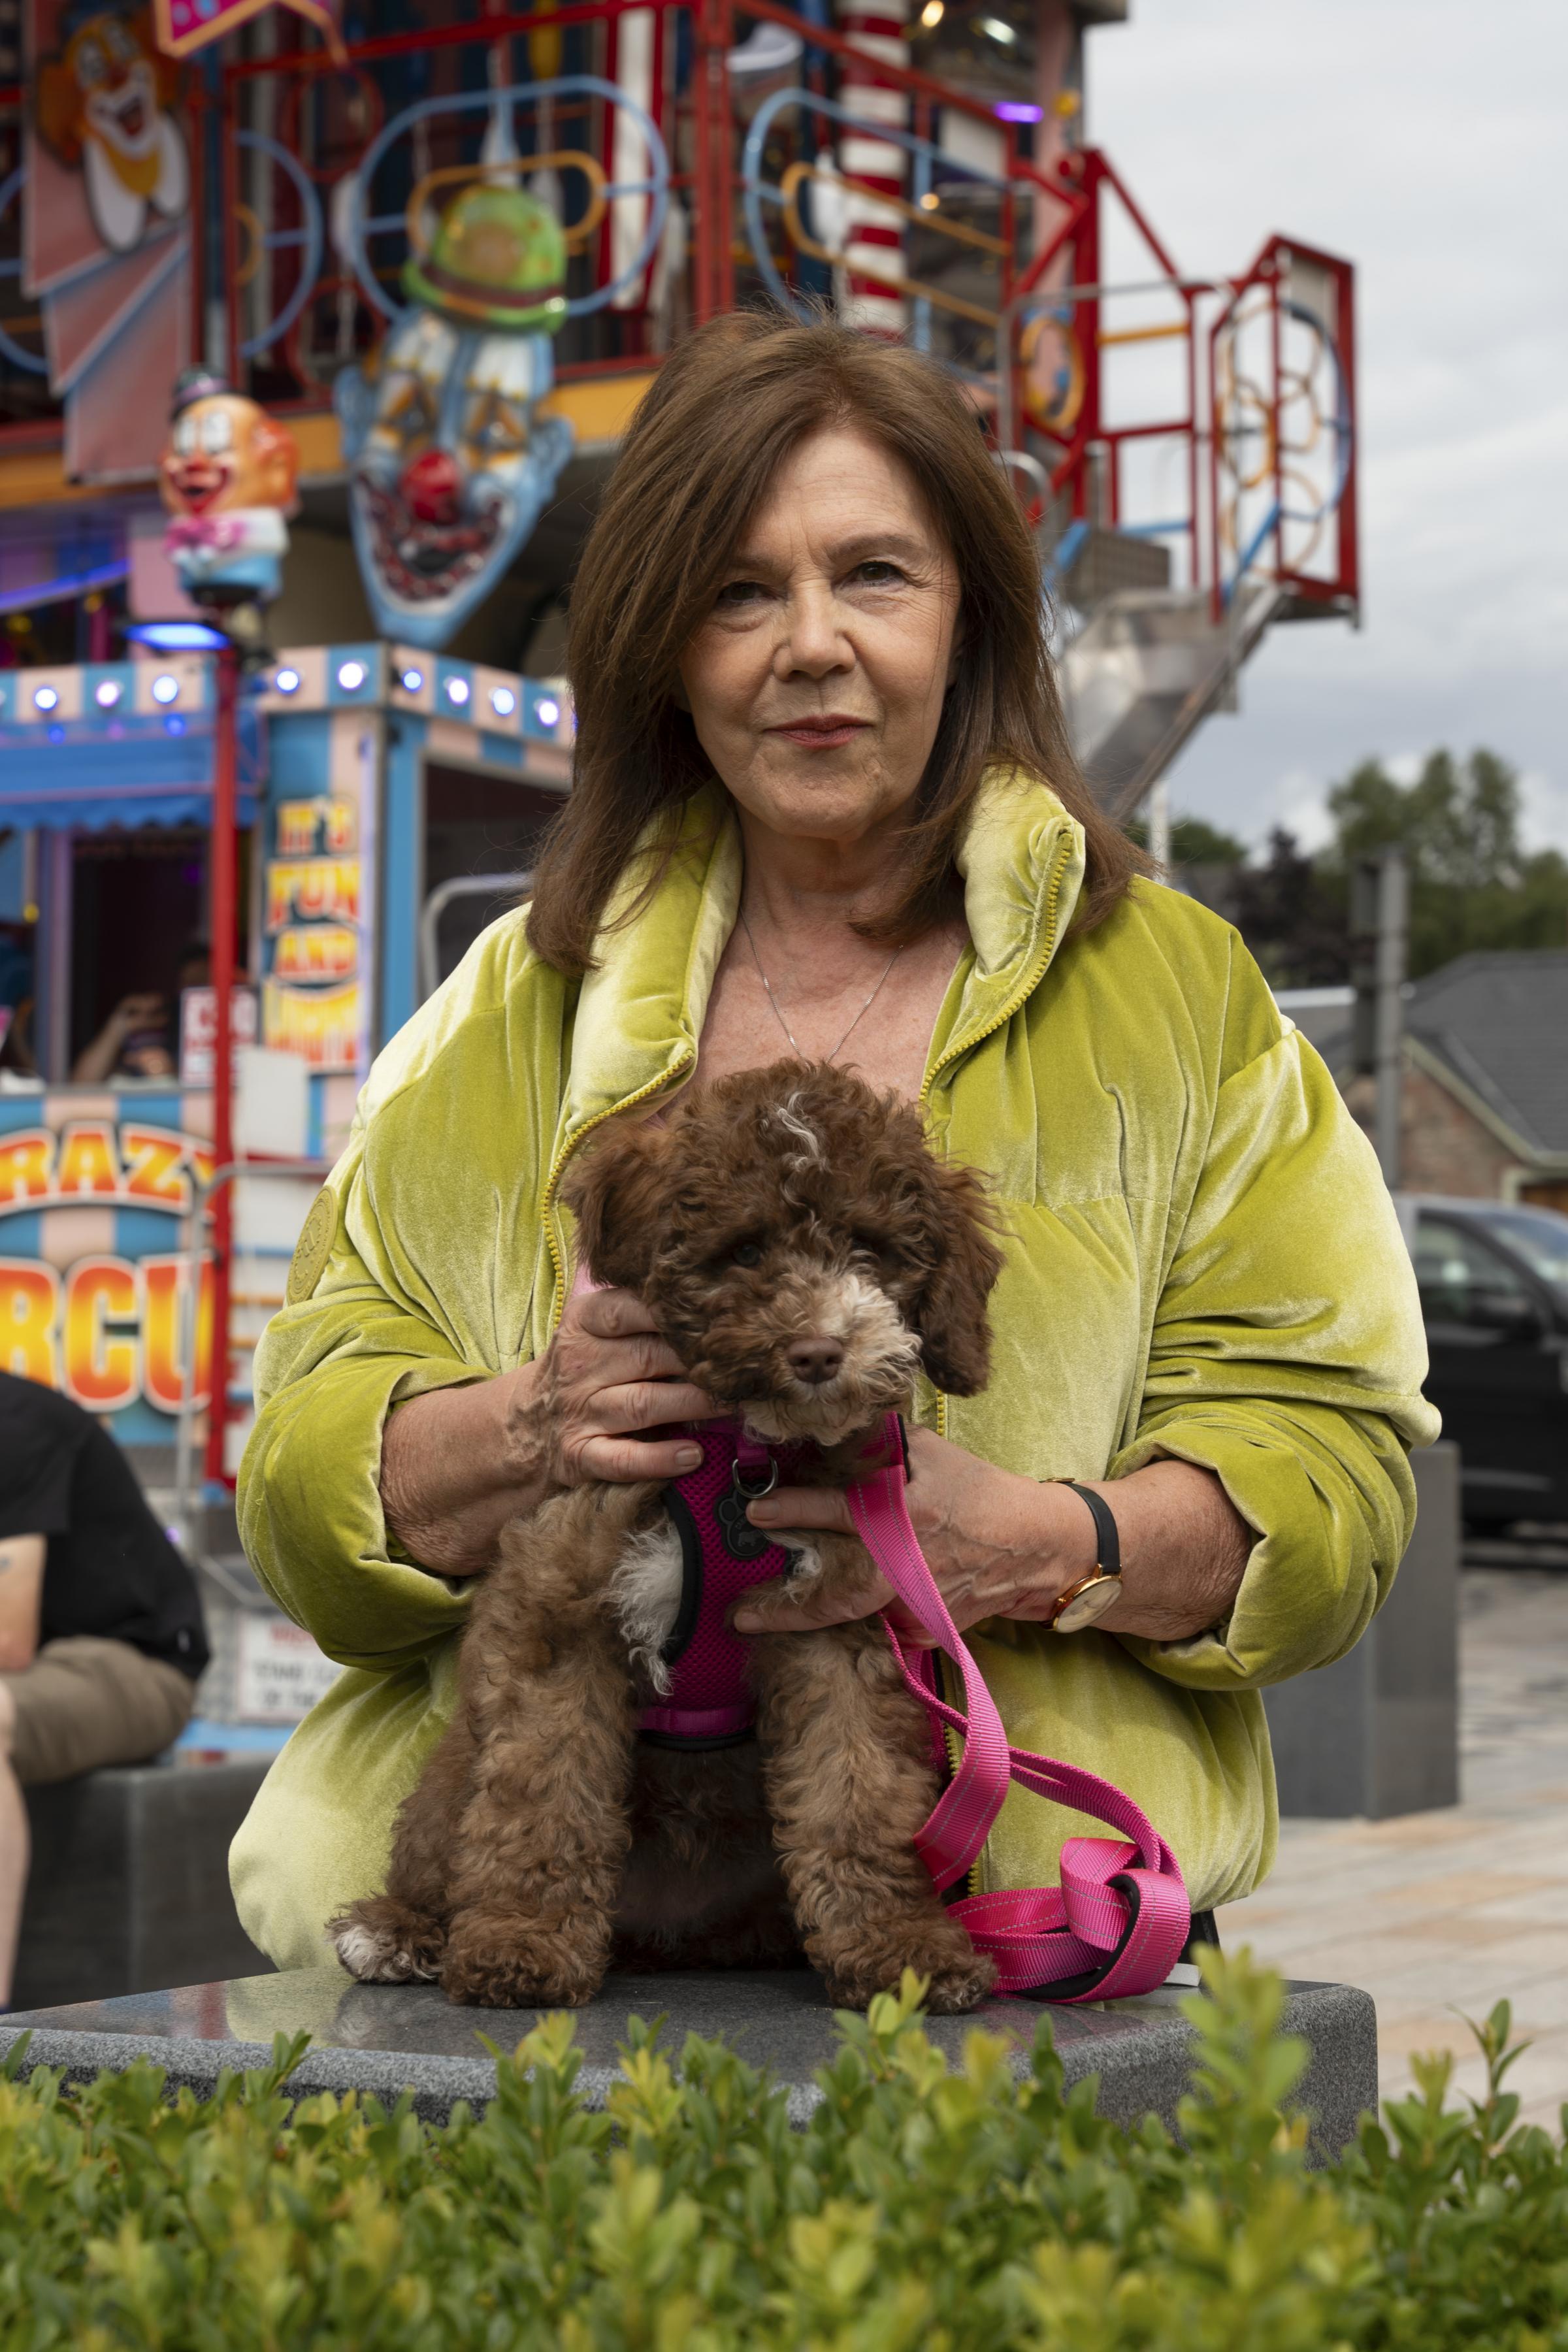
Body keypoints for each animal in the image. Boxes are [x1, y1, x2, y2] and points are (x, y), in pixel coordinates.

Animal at [338, 1058, 1011, 2013]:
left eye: (870, 1249)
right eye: (745, 1250)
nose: (817, 1352)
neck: (742, 1457)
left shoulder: (833, 1629)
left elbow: (858, 1792)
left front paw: (900, 1950)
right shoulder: (563, 1609)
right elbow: (545, 1789)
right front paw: (521, 1946)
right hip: (450, 1776)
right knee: (445, 1840)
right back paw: (398, 1931)